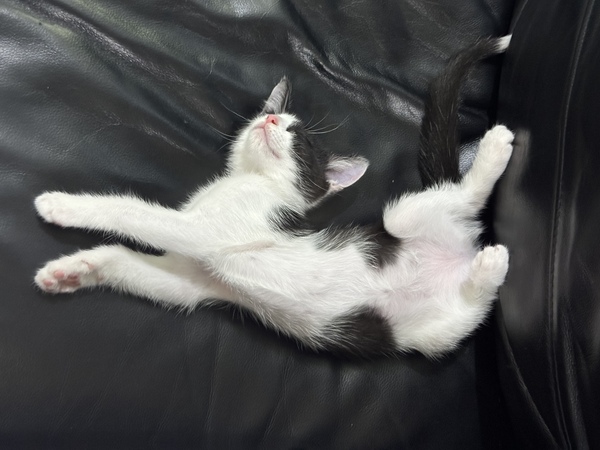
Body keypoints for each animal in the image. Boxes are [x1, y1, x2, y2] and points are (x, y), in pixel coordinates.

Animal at [34, 35, 513, 358]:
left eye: (297, 139)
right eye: (269, 114)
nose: (269, 121)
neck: (248, 181)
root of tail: (462, 250)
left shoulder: (206, 233)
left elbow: (133, 211)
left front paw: (62, 205)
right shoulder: (192, 281)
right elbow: (134, 267)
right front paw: (72, 270)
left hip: (404, 215)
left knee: (463, 197)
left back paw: (495, 150)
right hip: (432, 334)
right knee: (471, 308)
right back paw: (488, 268)